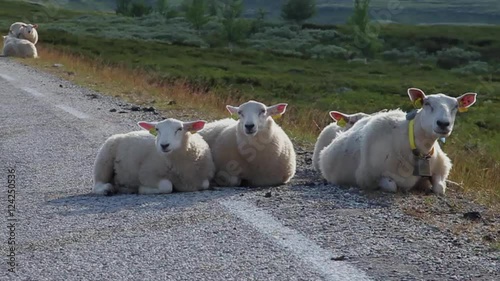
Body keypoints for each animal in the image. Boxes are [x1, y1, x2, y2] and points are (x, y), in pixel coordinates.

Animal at [320, 88, 476, 195]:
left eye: (455, 106)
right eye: (427, 103)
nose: (443, 124)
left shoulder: (441, 167)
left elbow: (439, 188)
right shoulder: (371, 177)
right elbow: (391, 186)